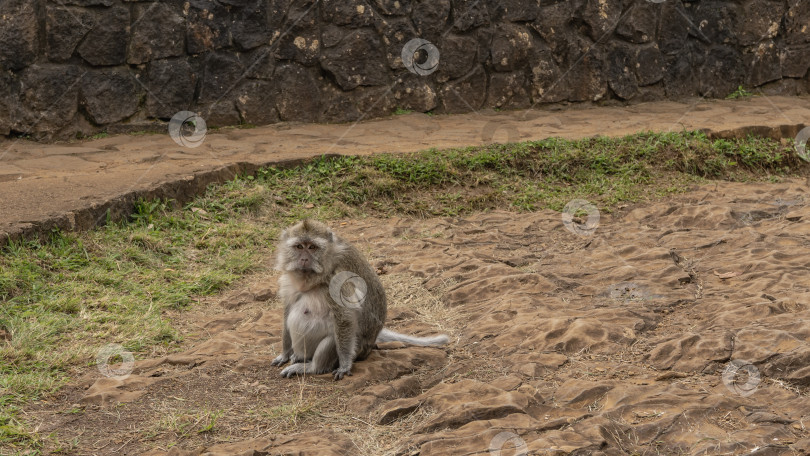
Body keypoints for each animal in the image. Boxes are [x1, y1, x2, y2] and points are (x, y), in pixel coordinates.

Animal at [270, 219, 448, 380]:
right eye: (299, 247)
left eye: (312, 247)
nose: (304, 259)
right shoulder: (289, 281)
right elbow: (288, 311)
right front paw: (285, 354)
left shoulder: (337, 281)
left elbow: (345, 318)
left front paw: (344, 365)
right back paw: (299, 357)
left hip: (357, 349)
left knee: (334, 337)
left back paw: (311, 367)